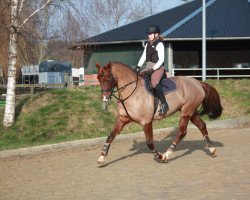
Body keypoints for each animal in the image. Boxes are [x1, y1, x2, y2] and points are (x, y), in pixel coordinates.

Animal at [95, 61, 223, 166]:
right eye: (99, 78)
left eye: (108, 77)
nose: (105, 97)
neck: (132, 92)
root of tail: (198, 82)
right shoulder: (122, 119)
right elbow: (110, 136)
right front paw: (101, 158)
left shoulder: (147, 122)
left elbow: (150, 143)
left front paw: (161, 157)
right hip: (191, 112)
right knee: (202, 125)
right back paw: (212, 150)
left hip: (186, 112)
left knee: (182, 132)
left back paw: (167, 154)